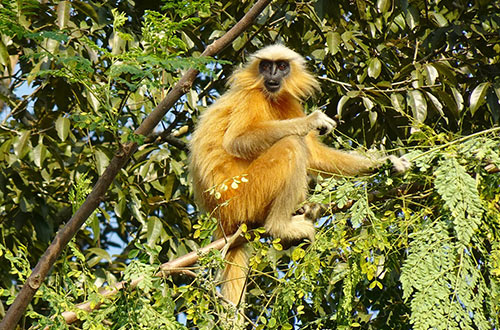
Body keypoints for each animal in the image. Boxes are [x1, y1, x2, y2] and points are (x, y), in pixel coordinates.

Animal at [188, 44, 410, 314]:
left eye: (282, 66)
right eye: (266, 66)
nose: (272, 75)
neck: (268, 95)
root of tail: (221, 218)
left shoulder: (287, 99)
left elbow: (314, 155)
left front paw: (387, 163)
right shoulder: (250, 97)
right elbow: (237, 141)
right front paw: (311, 120)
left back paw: (307, 210)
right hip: (243, 196)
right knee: (291, 145)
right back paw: (280, 226)